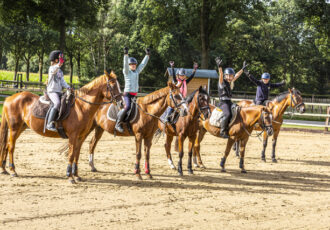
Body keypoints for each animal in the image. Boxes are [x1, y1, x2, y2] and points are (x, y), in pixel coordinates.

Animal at [61, 81, 189, 180]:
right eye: (177, 96)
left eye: (182, 95)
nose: (186, 111)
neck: (147, 111)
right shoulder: (138, 135)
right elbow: (138, 154)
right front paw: (137, 173)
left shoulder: (148, 136)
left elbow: (147, 154)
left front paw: (148, 173)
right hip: (88, 128)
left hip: (99, 129)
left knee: (92, 144)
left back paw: (92, 167)